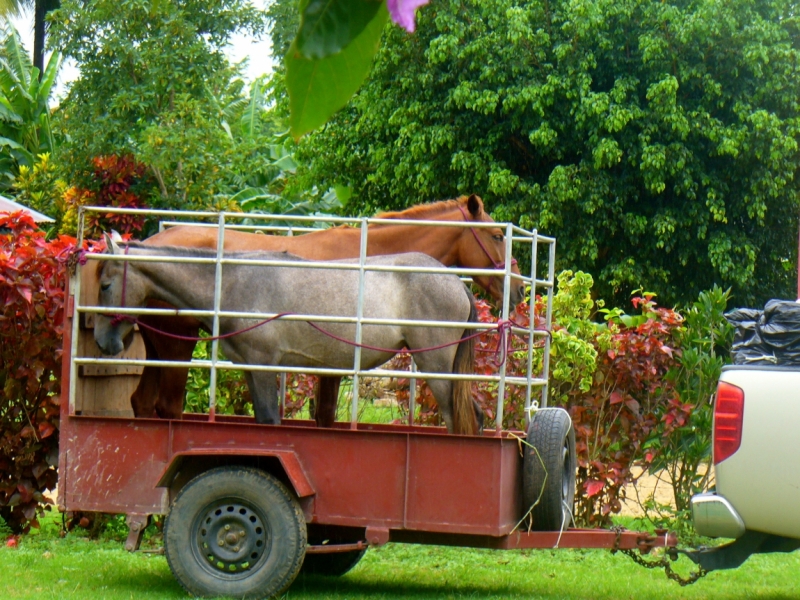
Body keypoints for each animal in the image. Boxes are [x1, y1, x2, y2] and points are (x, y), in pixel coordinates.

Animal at [92, 239, 482, 436]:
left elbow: (270, 420)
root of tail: (456, 283)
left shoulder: (265, 366)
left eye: (106, 284)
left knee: (460, 418)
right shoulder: (251, 367)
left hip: (437, 367)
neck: (231, 281)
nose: (101, 341)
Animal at [134, 195, 520, 424]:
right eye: (498, 236)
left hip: (157, 348)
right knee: (166, 407)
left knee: (142, 403)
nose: (519, 288)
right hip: (176, 347)